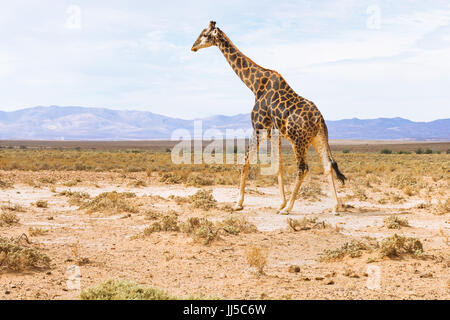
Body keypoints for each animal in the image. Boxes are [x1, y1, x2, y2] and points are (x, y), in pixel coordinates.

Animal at [192, 21, 346, 214]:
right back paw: (335, 206)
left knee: (303, 168)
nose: (193, 47)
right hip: (317, 138)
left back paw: (289, 209)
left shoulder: (259, 127)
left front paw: (239, 203)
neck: (255, 84)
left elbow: (246, 163)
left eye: (205, 34)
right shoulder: (275, 132)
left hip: (299, 140)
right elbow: (278, 166)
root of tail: (319, 119)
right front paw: (280, 202)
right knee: (327, 165)